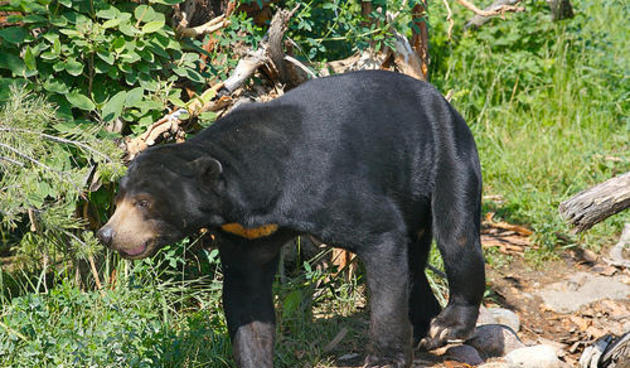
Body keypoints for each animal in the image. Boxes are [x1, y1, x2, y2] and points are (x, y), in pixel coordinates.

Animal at [97, 70, 484, 366]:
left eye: (144, 203)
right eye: (118, 199)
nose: (107, 234)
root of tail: (441, 99)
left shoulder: (325, 185)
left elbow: (381, 235)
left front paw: (384, 358)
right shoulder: (244, 234)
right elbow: (247, 298)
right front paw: (254, 358)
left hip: (449, 155)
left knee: (456, 236)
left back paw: (447, 325)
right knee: (415, 264)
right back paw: (424, 330)